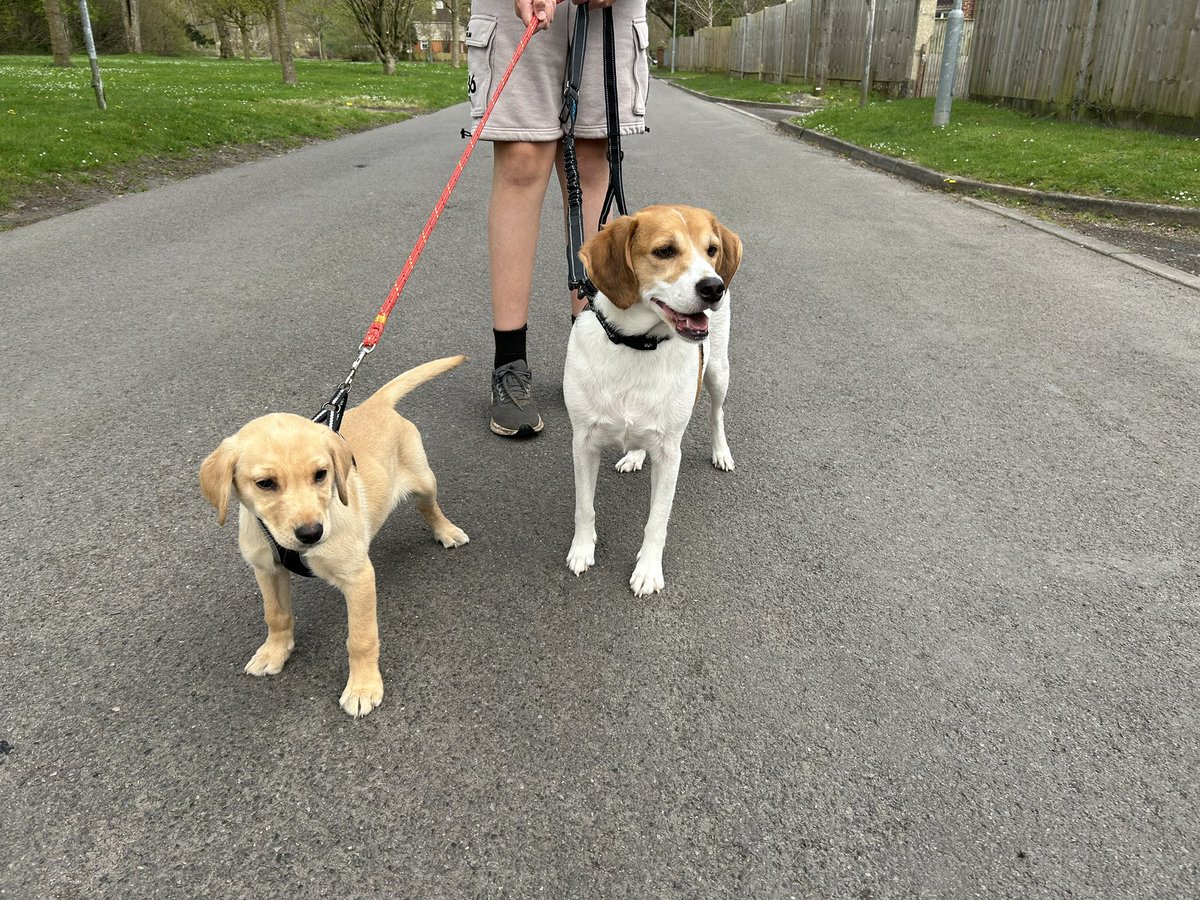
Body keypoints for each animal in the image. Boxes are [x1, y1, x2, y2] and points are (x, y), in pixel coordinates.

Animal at [199, 357, 465, 720]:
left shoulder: (359, 578)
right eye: (265, 483)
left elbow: (360, 639)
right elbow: (275, 614)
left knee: (430, 507)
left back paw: (446, 531)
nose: (312, 533)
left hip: (424, 479)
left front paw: (363, 687)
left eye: (320, 475)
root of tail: (373, 404)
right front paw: (274, 652)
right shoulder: (266, 569)